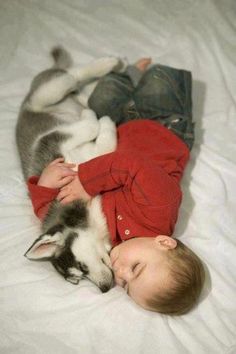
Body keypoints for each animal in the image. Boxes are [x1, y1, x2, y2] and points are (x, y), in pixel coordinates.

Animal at [16, 47, 121, 294]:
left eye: (81, 267)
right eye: (78, 278)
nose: (104, 288)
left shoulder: (53, 140)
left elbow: (92, 127)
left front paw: (100, 120)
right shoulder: (91, 151)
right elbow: (105, 147)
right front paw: (104, 124)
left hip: (46, 92)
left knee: (71, 75)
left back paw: (107, 64)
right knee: (73, 84)